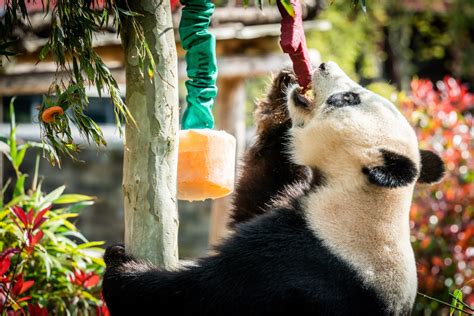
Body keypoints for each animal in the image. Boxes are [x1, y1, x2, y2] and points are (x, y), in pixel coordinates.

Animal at [102, 62, 446, 316]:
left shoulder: (299, 257)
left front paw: (121, 265)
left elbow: (208, 294)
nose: (324, 64)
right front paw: (280, 97)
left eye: (349, 98)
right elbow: (258, 193)